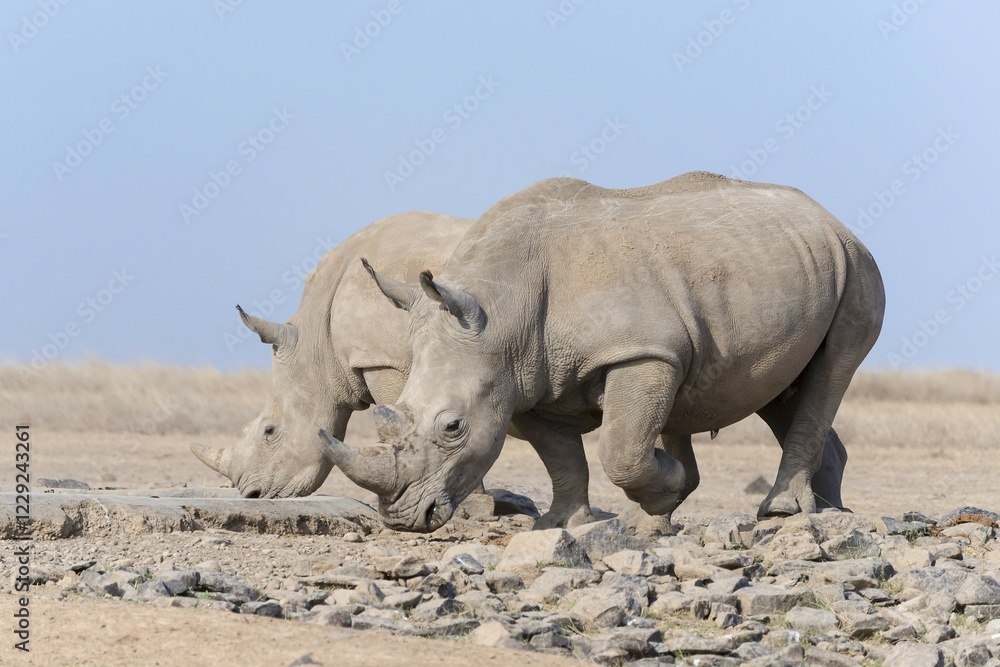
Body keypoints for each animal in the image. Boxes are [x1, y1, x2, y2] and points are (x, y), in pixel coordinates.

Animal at [321, 172, 885, 534]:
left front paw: (668, 486)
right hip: (790, 265)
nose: (401, 519)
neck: (501, 314)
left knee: (833, 369)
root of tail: (829, 216)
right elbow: (561, 456)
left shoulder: (640, 353)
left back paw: (783, 513)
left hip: (857, 265)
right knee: (780, 390)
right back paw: (827, 514)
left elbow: (621, 448)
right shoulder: (524, 378)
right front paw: (560, 524)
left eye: (453, 427)